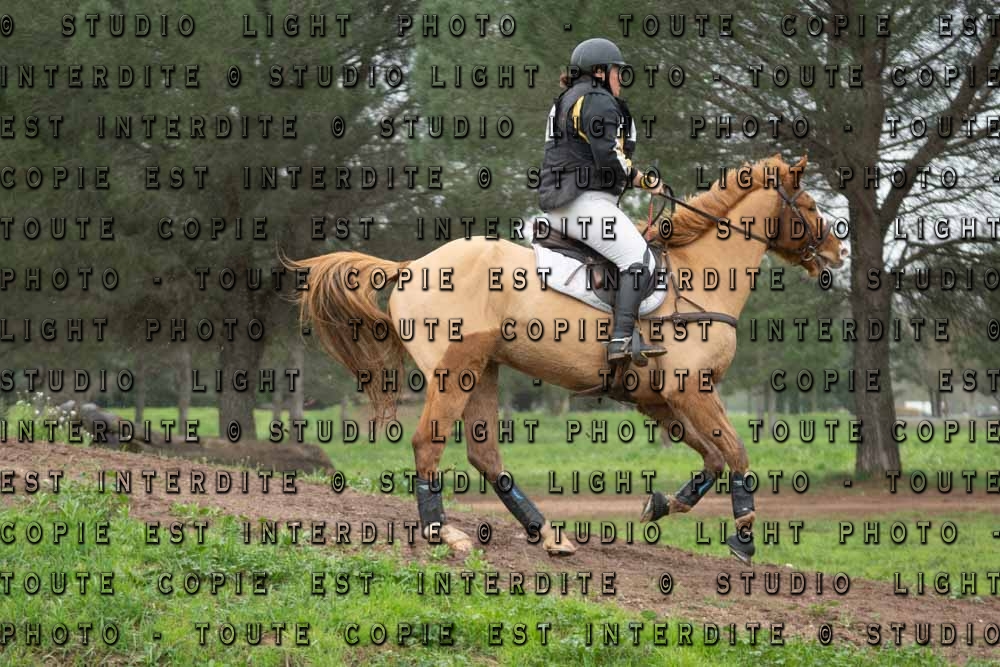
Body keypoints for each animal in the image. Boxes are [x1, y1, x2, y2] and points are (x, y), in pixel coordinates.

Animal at [290, 153, 848, 564]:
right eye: (810, 204)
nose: (838, 253)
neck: (699, 275)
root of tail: (410, 266)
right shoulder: (691, 388)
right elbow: (736, 453)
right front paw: (745, 537)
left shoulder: (661, 400)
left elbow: (711, 456)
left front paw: (663, 503)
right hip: (455, 372)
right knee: (430, 443)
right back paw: (444, 533)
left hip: (483, 372)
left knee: (485, 456)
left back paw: (546, 532)